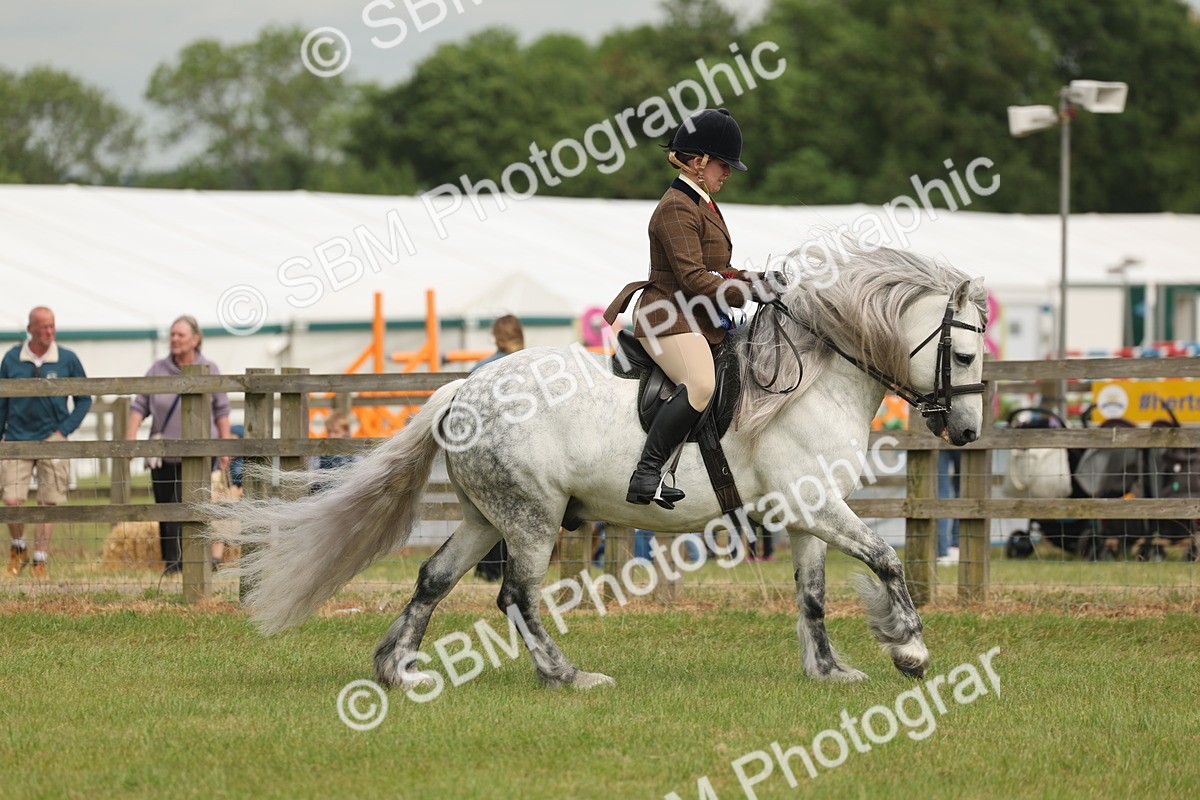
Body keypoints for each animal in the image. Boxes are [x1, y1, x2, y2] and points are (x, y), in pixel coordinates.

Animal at [206, 240, 987, 690]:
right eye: (966, 351)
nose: (967, 431)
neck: (816, 378)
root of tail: (465, 387)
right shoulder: (820, 507)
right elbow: (887, 559)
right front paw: (910, 651)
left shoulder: (803, 514)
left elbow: (814, 595)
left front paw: (829, 670)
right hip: (533, 517)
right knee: (516, 596)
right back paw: (566, 675)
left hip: (486, 516)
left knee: (434, 578)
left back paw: (397, 669)